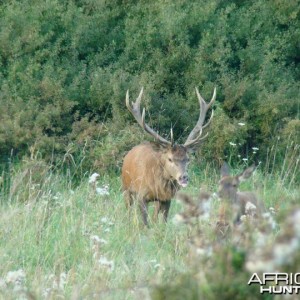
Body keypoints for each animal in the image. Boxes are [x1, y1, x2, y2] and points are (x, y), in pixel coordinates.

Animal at [122, 86, 216, 225]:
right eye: (170, 159)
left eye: (188, 159)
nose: (183, 177)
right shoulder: (141, 195)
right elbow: (145, 222)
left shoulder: (167, 198)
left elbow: (163, 221)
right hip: (126, 187)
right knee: (128, 209)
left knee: (155, 215)